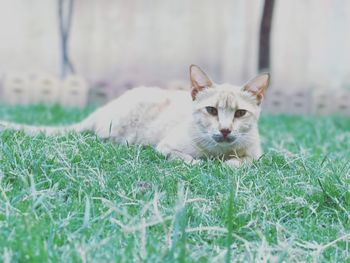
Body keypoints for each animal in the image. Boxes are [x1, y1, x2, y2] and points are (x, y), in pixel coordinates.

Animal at [0, 65, 270, 167]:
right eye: (212, 110)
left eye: (240, 113)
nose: (225, 130)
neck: (219, 151)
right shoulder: (165, 146)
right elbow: (187, 159)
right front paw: (201, 163)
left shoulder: (256, 154)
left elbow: (243, 161)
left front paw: (229, 163)